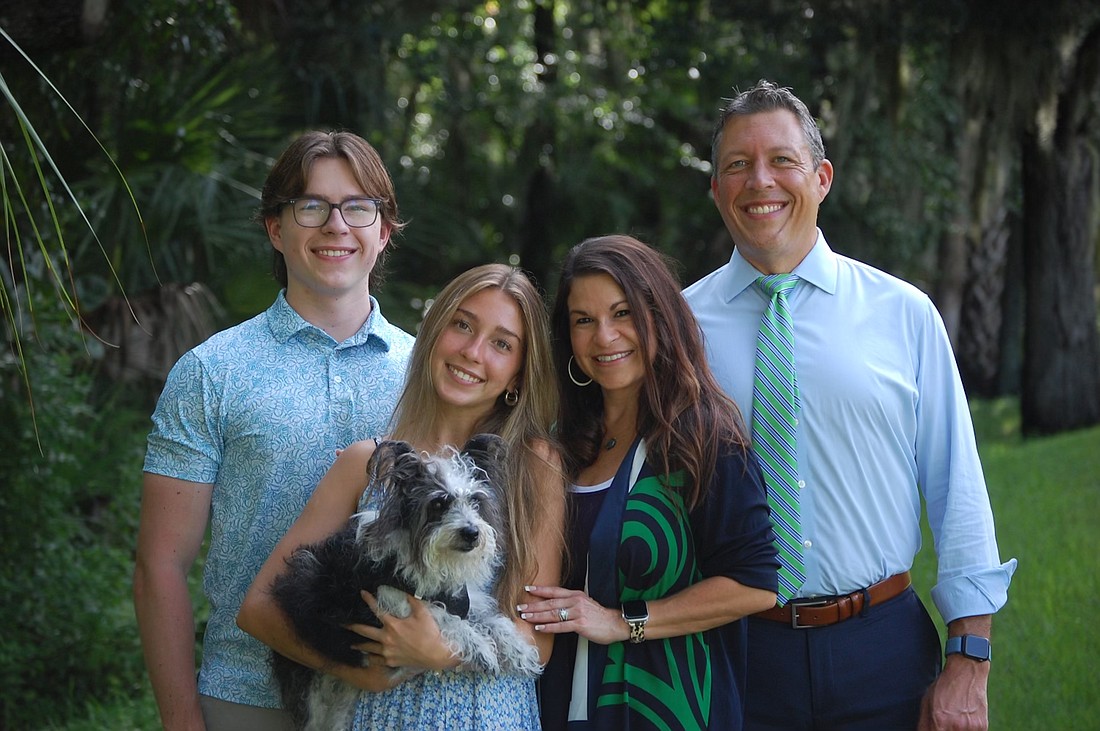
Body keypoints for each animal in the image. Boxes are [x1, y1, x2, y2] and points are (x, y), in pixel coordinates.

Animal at [267, 433, 541, 729]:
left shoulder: (468, 600)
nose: (471, 533)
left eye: (475, 501)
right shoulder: (390, 600)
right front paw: (480, 647)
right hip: (315, 698)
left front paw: (520, 651)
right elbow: (442, 616)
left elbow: (494, 621)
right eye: (438, 503)